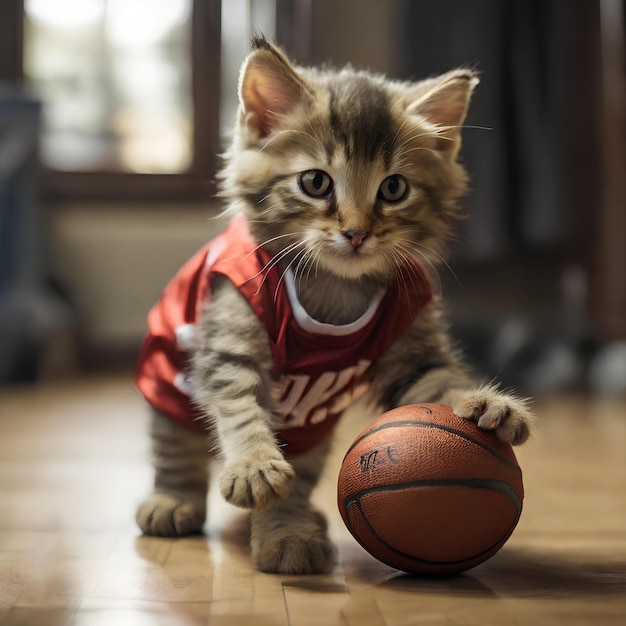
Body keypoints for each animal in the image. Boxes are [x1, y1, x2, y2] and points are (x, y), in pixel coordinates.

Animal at [134, 37, 528, 576]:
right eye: (316, 183)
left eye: (394, 188)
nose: (357, 233)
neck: (334, 289)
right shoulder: (229, 333)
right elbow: (238, 404)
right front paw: (254, 465)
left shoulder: (411, 343)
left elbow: (439, 381)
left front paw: (487, 402)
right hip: (168, 387)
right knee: (176, 453)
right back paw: (173, 503)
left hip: (313, 434)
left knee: (299, 481)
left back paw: (292, 530)